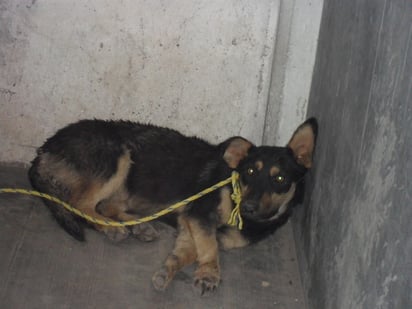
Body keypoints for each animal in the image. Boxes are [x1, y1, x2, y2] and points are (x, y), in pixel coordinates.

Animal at [29, 118, 318, 294]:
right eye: (248, 172)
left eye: (280, 179)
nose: (248, 207)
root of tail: (43, 149)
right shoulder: (199, 215)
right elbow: (209, 247)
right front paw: (210, 274)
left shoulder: (191, 223)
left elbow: (189, 252)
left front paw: (170, 269)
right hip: (117, 156)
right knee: (81, 205)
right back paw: (113, 228)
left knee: (105, 207)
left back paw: (139, 227)